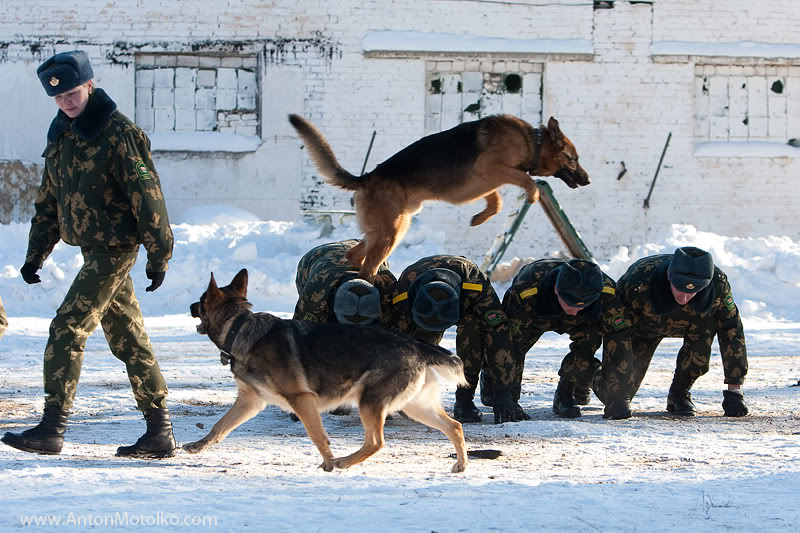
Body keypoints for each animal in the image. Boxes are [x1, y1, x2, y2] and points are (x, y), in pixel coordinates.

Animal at [181, 268, 468, 472]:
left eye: (201, 301)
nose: (190, 307)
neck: (239, 326)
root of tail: (416, 345)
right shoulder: (250, 401)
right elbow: (219, 427)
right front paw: (198, 445)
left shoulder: (301, 400)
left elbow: (319, 437)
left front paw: (329, 462)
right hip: (415, 407)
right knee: (455, 426)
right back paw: (461, 464)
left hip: (370, 403)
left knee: (375, 443)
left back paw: (343, 462)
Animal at [290, 112, 592, 278]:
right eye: (574, 159)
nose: (588, 180)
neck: (533, 141)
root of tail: (368, 177)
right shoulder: (492, 168)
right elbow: (527, 180)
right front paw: (532, 196)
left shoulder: (487, 182)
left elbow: (496, 201)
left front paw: (480, 218)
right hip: (390, 233)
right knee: (366, 267)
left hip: (389, 230)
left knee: (354, 255)